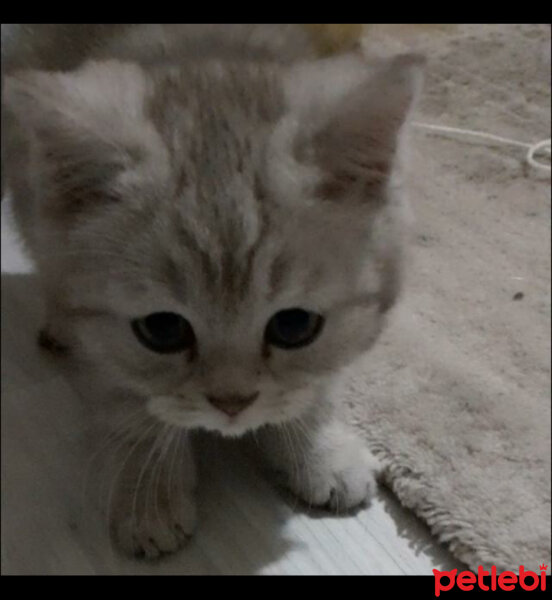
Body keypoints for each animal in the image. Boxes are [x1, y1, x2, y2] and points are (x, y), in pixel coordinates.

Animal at [1, 23, 422, 556]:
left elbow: (318, 382)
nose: (233, 403)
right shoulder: (98, 337)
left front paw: (318, 447)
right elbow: (127, 398)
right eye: (162, 331)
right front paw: (148, 490)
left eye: (294, 326)